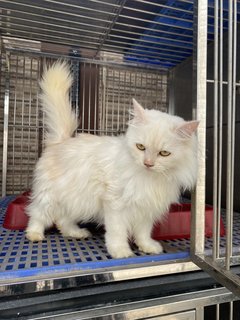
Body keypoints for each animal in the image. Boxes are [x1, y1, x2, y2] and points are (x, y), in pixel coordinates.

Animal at [25, 61, 199, 258]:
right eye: (141, 147)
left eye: (164, 153)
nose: (148, 163)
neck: (149, 179)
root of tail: (62, 140)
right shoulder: (115, 205)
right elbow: (117, 232)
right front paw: (121, 251)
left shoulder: (146, 210)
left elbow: (143, 232)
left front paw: (147, 246)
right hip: (49, 196)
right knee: (37, 214)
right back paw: (34, 234)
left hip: (76, 199)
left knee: (63, 220)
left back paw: (75, 233)